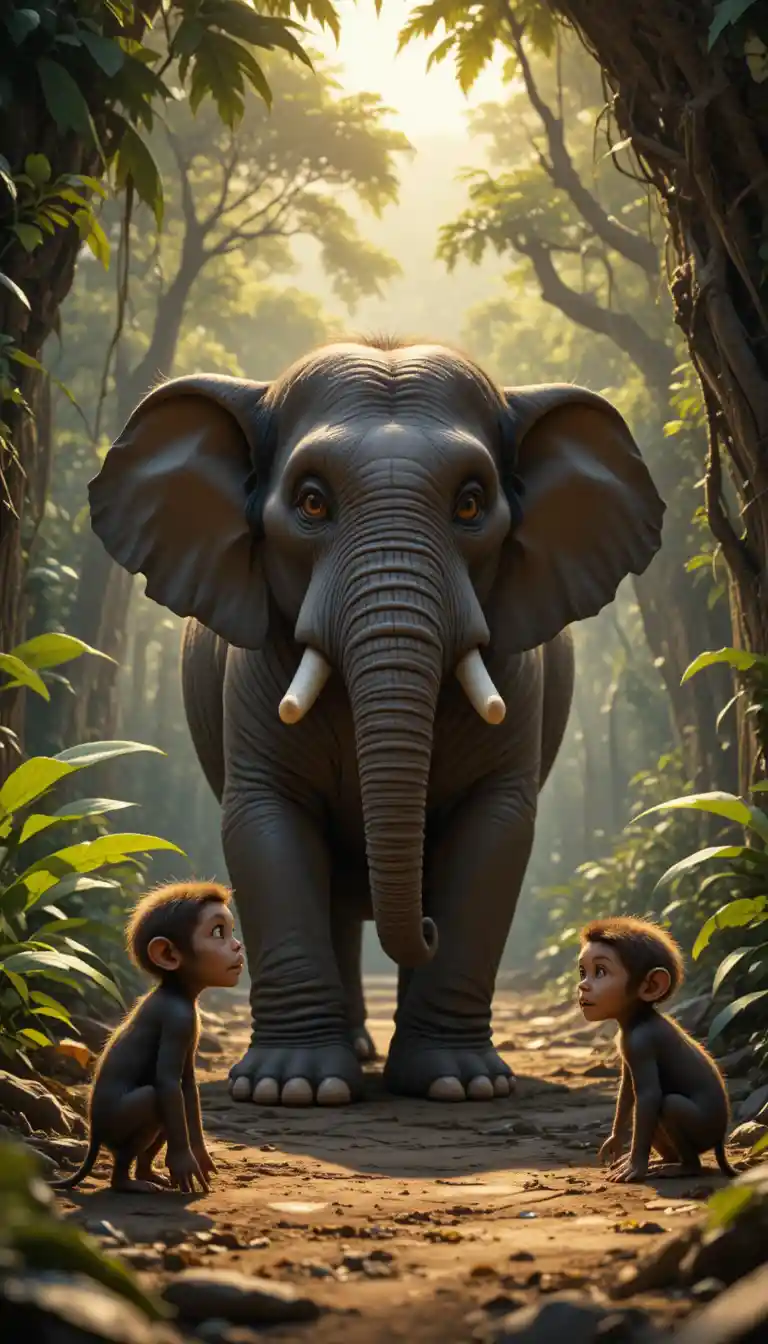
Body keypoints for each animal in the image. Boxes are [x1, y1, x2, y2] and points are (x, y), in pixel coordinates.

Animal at [50, 881, 243, 1194]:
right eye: (218, 932)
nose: (237, 947)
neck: (176, 989)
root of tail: (93, 1134)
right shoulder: (179, 1019)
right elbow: (168, 1082)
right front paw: (185, 1162)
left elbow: (186, 1086)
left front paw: (200, 1157)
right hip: (116, 1121)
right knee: (154, 1099)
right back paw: (125, 1182)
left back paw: (146, 1173)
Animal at [88, 337, 665, 1107]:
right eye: (311, 502)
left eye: (471, 503)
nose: (424, 921)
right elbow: (264, 821)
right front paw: (291, 1091)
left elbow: (494, 831)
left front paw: (460, 1085)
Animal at [577, 915, 737, 1184]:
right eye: (583, 972)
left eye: (600, 972)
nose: (582, 987)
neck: (639, 1017)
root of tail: (720, 1140)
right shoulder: (626, 1044)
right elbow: (628, 1091)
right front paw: (614, 1144)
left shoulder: (640, 1042)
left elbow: (649, 1095)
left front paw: (635, 1167)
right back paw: (665, 1160)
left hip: (703, 1127)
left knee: (669, 1105)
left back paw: (685, 1167)